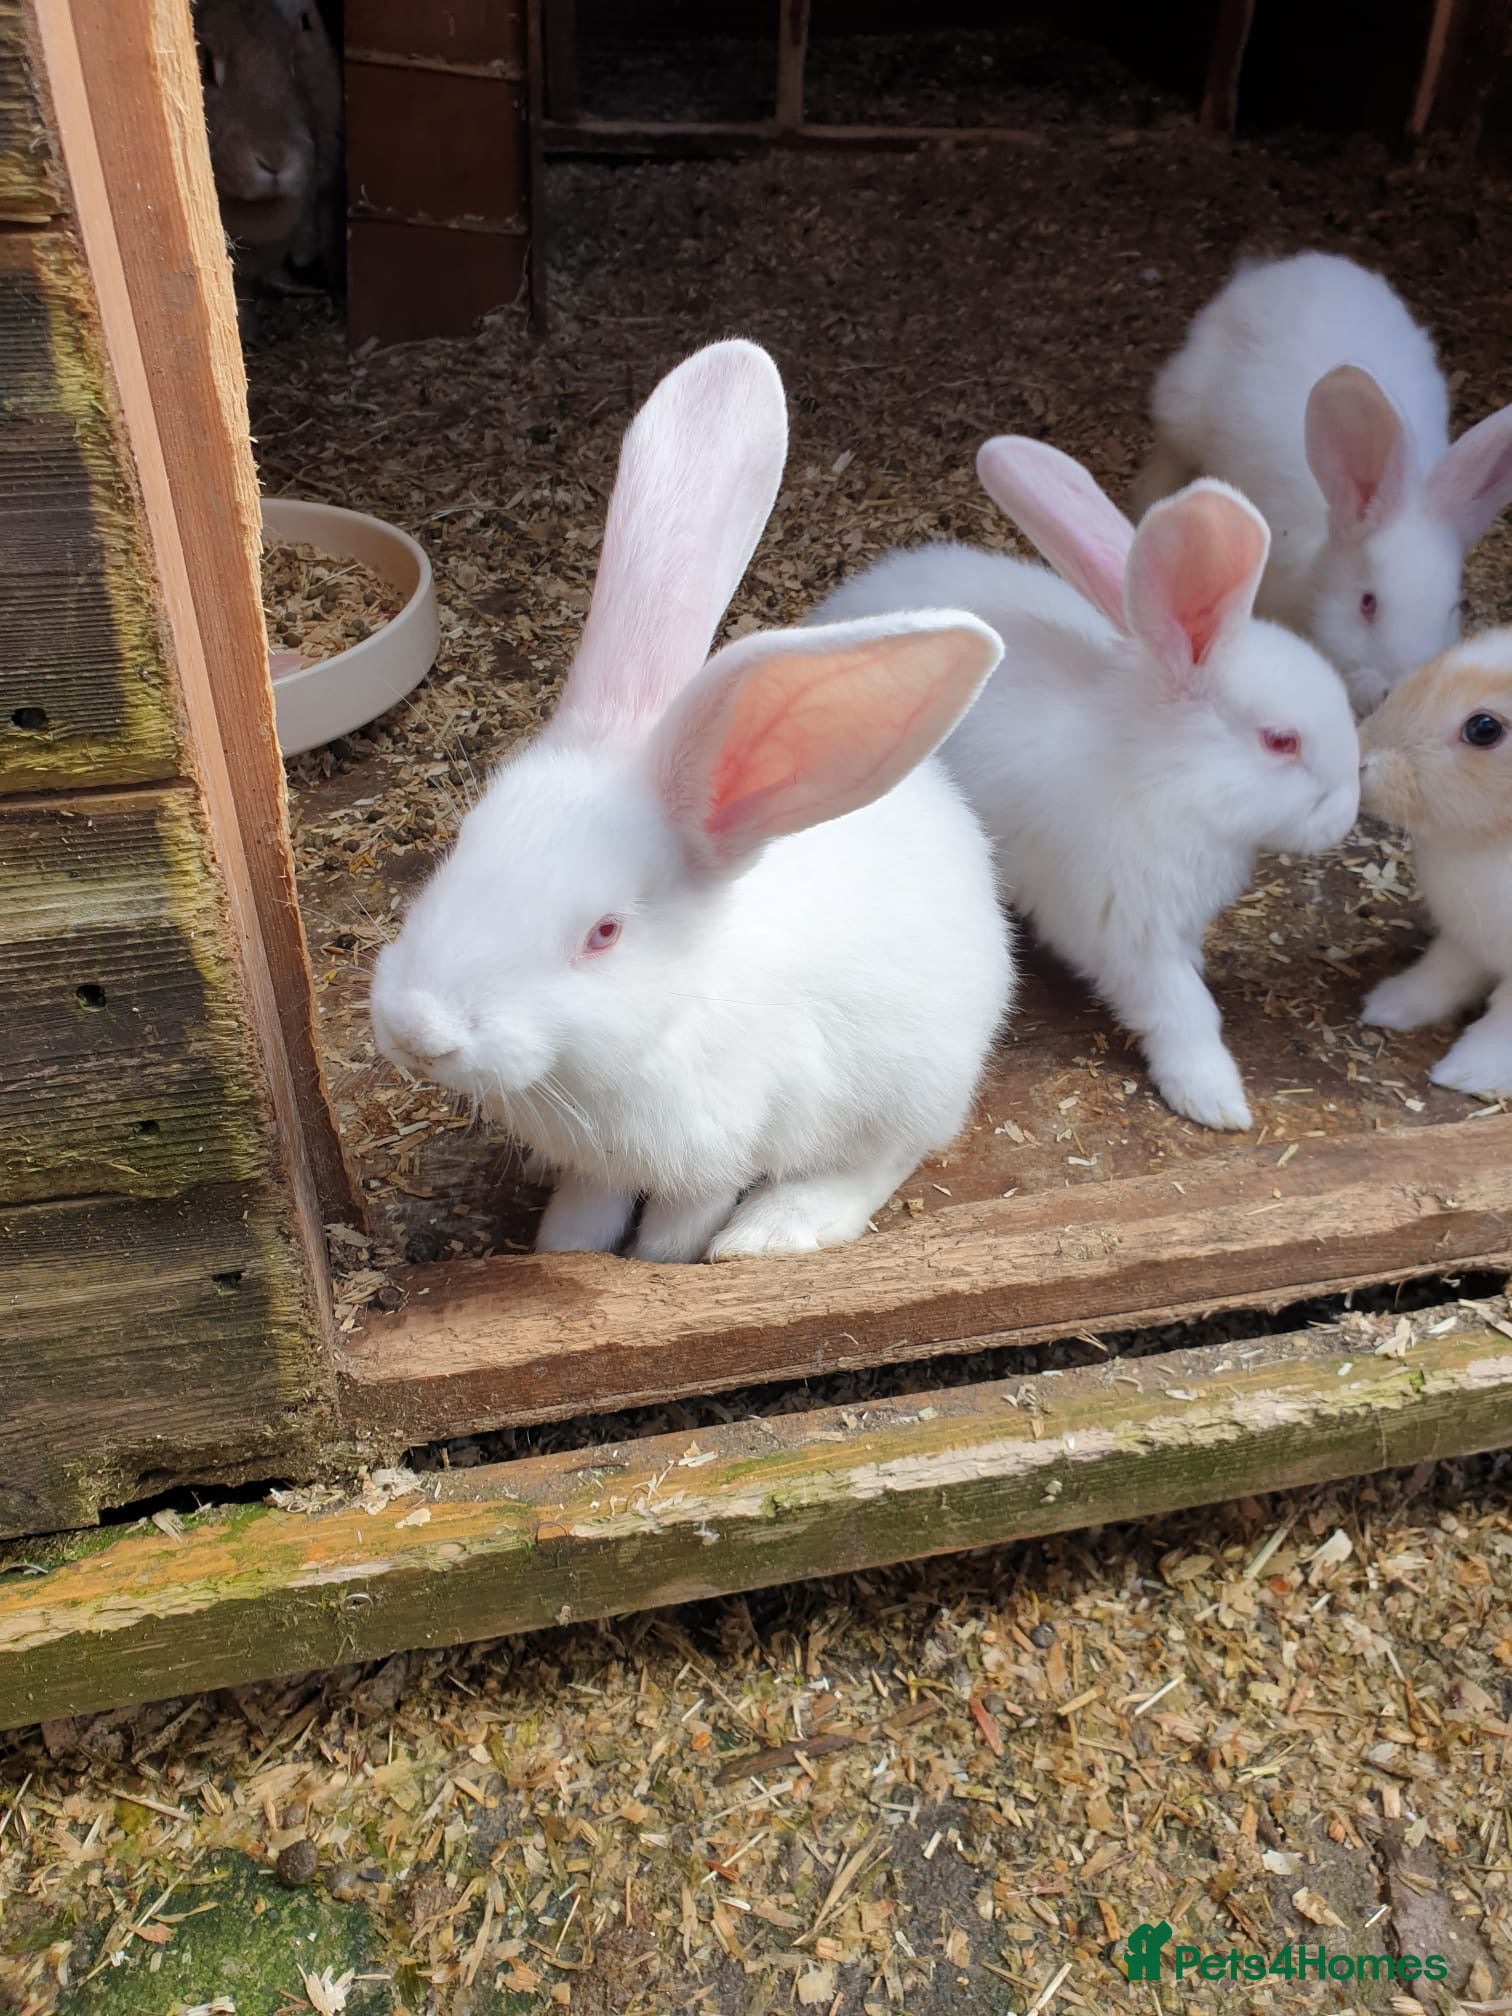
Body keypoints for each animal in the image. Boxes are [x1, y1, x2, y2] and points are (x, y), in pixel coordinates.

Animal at [369, 340, 1015, 1265]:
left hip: (909, 1080)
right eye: (461, 844)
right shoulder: (596, 1163)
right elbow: (587, 1204)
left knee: (880, 1160)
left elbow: (682, 1223)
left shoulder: (721, 1146)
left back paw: (775, 1231)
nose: (416, 1031)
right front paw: (565, 1249)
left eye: (605, 933)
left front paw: (655, 1264)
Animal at [815, 436, 1361, 1134]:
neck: (1164, 775)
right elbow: (1184, 1013)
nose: (1347, 813)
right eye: (1280, 741)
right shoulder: (1131, 935)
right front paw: (1215, 1100)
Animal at [1359, 628, 1512, 1097]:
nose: (1362, 759)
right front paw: (1388, 1004)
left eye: (1484, 728)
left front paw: (1467, 1071)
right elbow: (1442, 971)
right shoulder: (1465, 937)